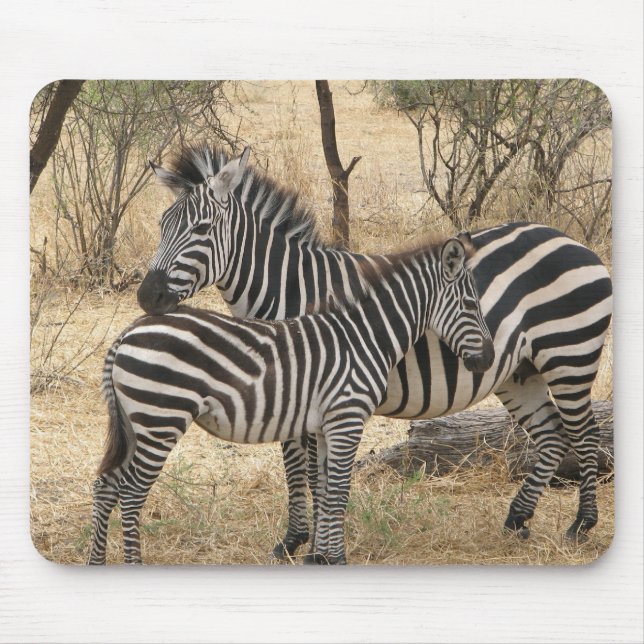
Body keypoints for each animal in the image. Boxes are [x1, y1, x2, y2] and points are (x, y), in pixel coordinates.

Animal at [88, 235, 494, 564]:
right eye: (471, 304)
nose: (488, 359)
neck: (365, 335)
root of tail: (126, 333)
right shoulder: (347, 417)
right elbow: (338, 492)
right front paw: (334, 559)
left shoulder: (330, 424)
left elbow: (326, 488)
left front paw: (323, 557)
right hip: (161, 418)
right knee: (131, 492)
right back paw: (133, 564)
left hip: (136, 423)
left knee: (106, 485)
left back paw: (97, 563)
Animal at [136, 144, 613, 555]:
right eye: (160, 226)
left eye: (200, 229)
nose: (148, 297)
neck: (292, 290)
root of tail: (571, 241)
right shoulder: (290, 393)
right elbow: (297, 467)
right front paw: (297, 541)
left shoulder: (311, 390)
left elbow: (309, 470)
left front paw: (310, 541)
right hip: (519, 372)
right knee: (551, 436)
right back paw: (517, 519)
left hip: (569, 355)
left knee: (585, 435)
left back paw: (581, 525)